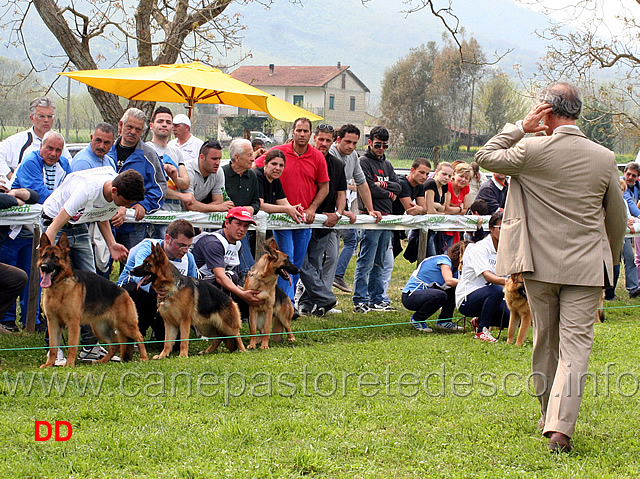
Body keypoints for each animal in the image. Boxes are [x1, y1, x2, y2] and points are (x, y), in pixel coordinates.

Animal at [39, 234, 149, 370]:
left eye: (55, 258)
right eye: (44, 256)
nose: (44, 267)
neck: (59, 286)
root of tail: (123, 291)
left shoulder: (73, 324)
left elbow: (71, 346)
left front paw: (69, 365)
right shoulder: (53, 323)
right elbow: (53, 347)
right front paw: (49, 364)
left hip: (125, 325)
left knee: (139, 337)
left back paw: (144, 358)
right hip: (100, 329)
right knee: (115, 345)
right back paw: (103, 361)